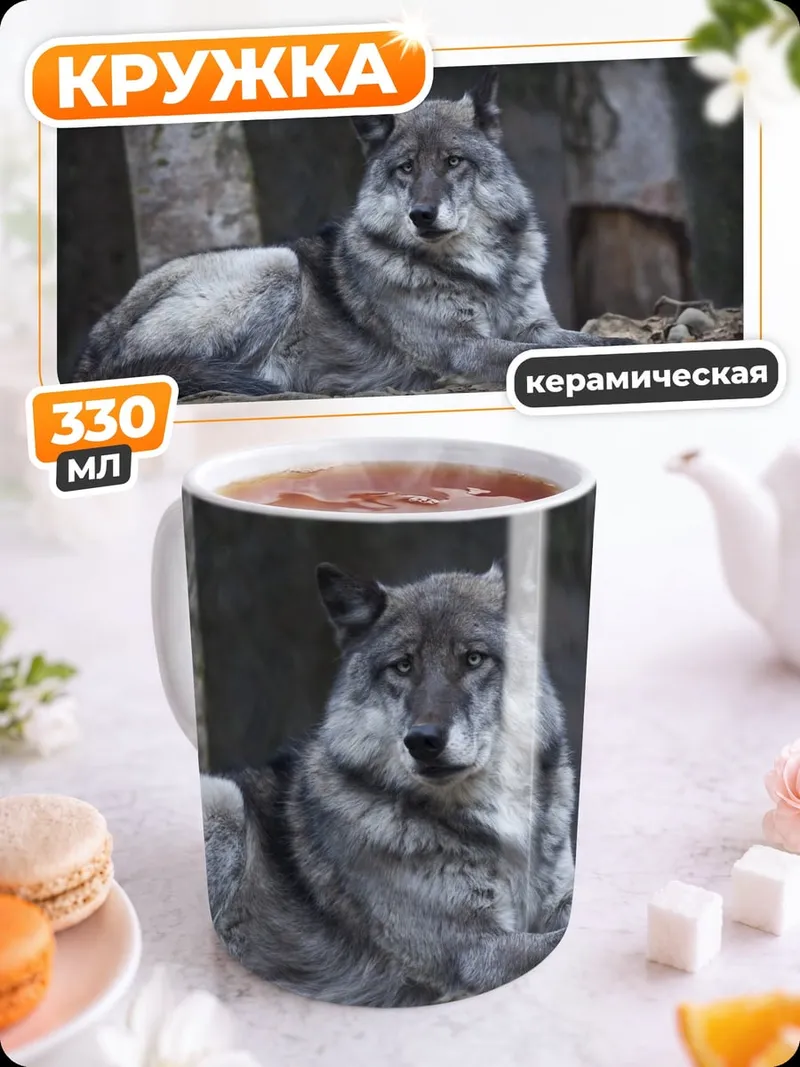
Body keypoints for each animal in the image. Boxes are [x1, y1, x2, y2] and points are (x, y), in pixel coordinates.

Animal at [72, 68, 629, 400]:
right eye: (407, 168)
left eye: (453, 162)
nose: (422, 215)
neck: (478, 272)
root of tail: (89, 352)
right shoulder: (460, 348)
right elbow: (538, 355)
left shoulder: (536, 325)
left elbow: (582, 340)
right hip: (276, 265)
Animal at [201, 562, 576, 1007]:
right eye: (403, 666)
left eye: (473, 659)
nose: (423, 741)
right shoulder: (472, 950)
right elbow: (551, 941)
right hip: (223, 801)